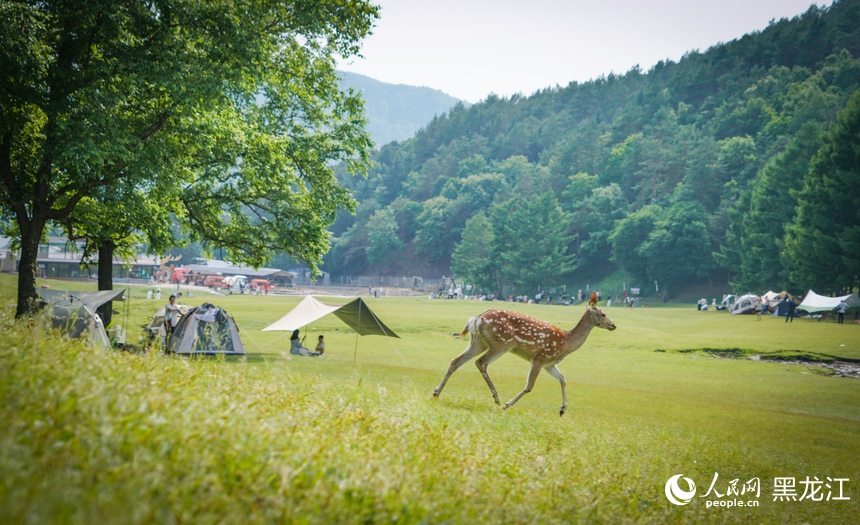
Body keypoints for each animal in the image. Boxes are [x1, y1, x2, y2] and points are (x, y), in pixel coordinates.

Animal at [432, 292, 616, 415]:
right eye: (603, 314)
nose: (613, 325)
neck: (566, 343)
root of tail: (477, 318)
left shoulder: (549, 364)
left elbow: (563, 380)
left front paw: (563, 409)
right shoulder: (540, 358)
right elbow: (529, 386)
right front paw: (507, 405)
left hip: (478, 342)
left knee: (455, 361)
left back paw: (436, 392)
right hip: (502, 342)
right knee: (481, 362)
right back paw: (496, 397)